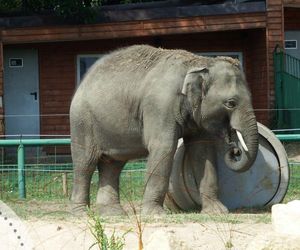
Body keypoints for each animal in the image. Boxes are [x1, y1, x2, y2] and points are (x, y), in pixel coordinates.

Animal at [69, 44, 258, 216]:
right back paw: (81, 213)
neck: (199, 62)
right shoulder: (160, 105)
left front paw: (217, 211)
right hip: (82, 121)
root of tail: (83, 81)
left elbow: (203, 151)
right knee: (85, 163)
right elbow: (164, 147)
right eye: (231, 103)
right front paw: (155, 214)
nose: (235, 150)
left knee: (112, 164)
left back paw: (113, 214)